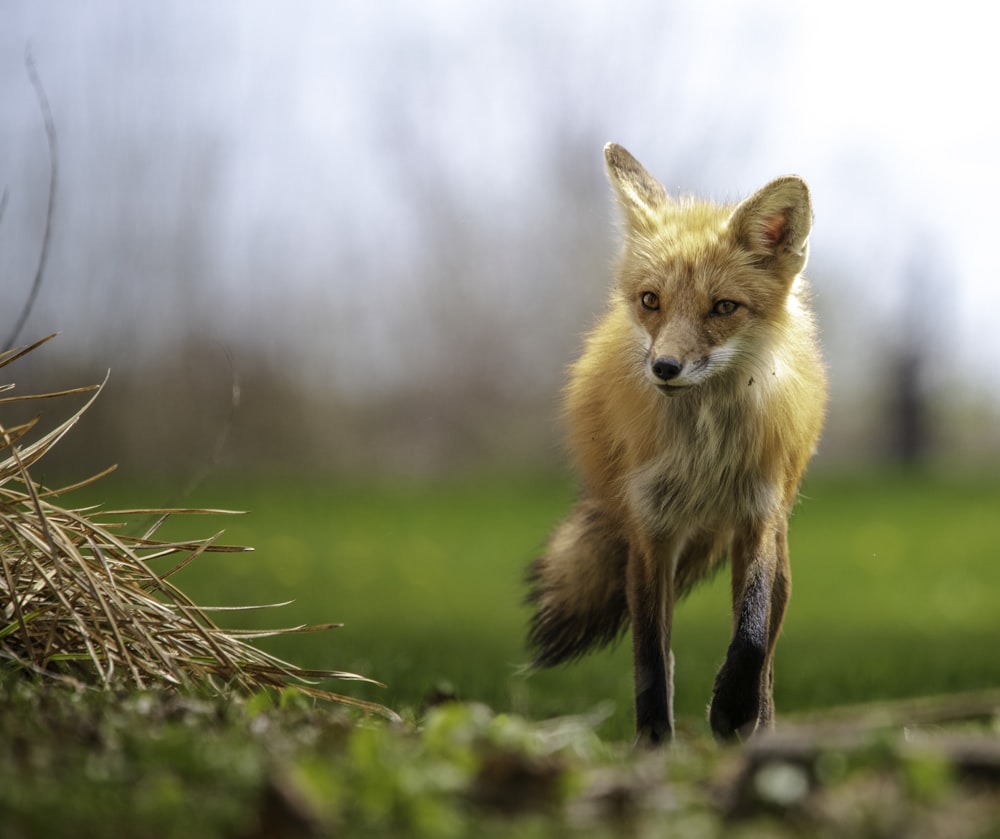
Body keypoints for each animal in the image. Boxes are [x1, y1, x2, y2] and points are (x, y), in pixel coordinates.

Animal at [524, 144, 828, 748]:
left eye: (724, 307)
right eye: (650, 301)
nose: (664, 367)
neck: (704, 454)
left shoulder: (756, 517)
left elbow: (751, 635)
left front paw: (731, 707)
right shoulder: (650, 533)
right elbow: (650, 658)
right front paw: (653, 744)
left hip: (777, 548)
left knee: (768, 651)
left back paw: (760, 727)